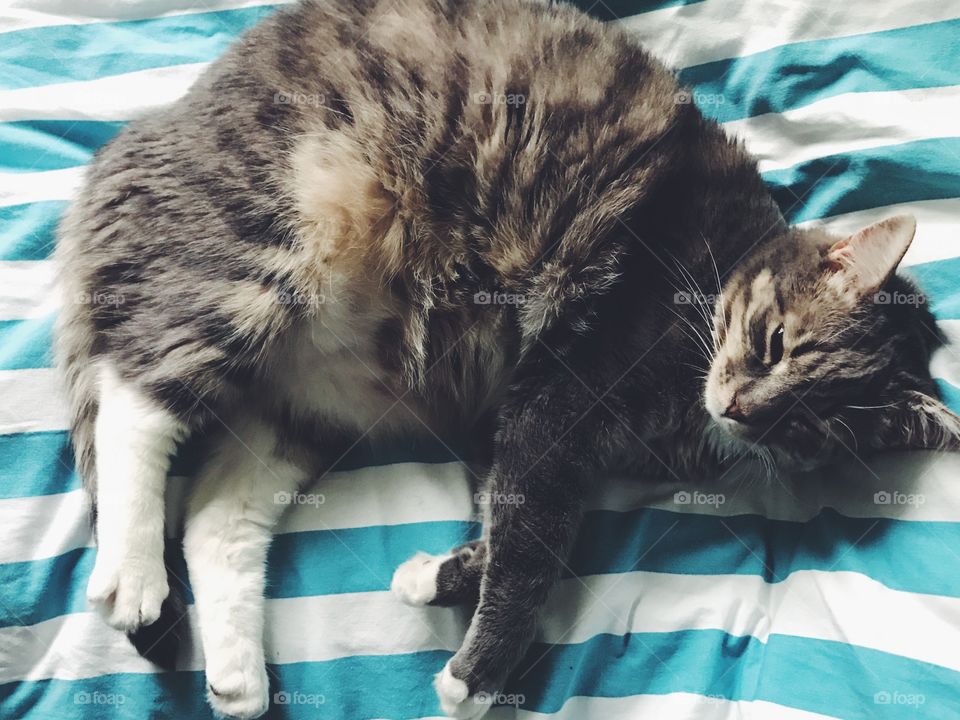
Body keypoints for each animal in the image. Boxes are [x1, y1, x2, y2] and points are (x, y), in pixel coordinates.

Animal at [54, 0, 960, 716]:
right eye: (774, 346)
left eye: (811, 427)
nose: (743, 409)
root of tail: (139, 140)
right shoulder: (557, 394)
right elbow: (536, 539)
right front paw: (478, 674)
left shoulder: (527, 423)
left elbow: (510, 519)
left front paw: (433, 581)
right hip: (269, 249)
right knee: (135, 397)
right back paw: (133, 579)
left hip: (304, 408)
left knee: (216, 517)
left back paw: (239, 680)